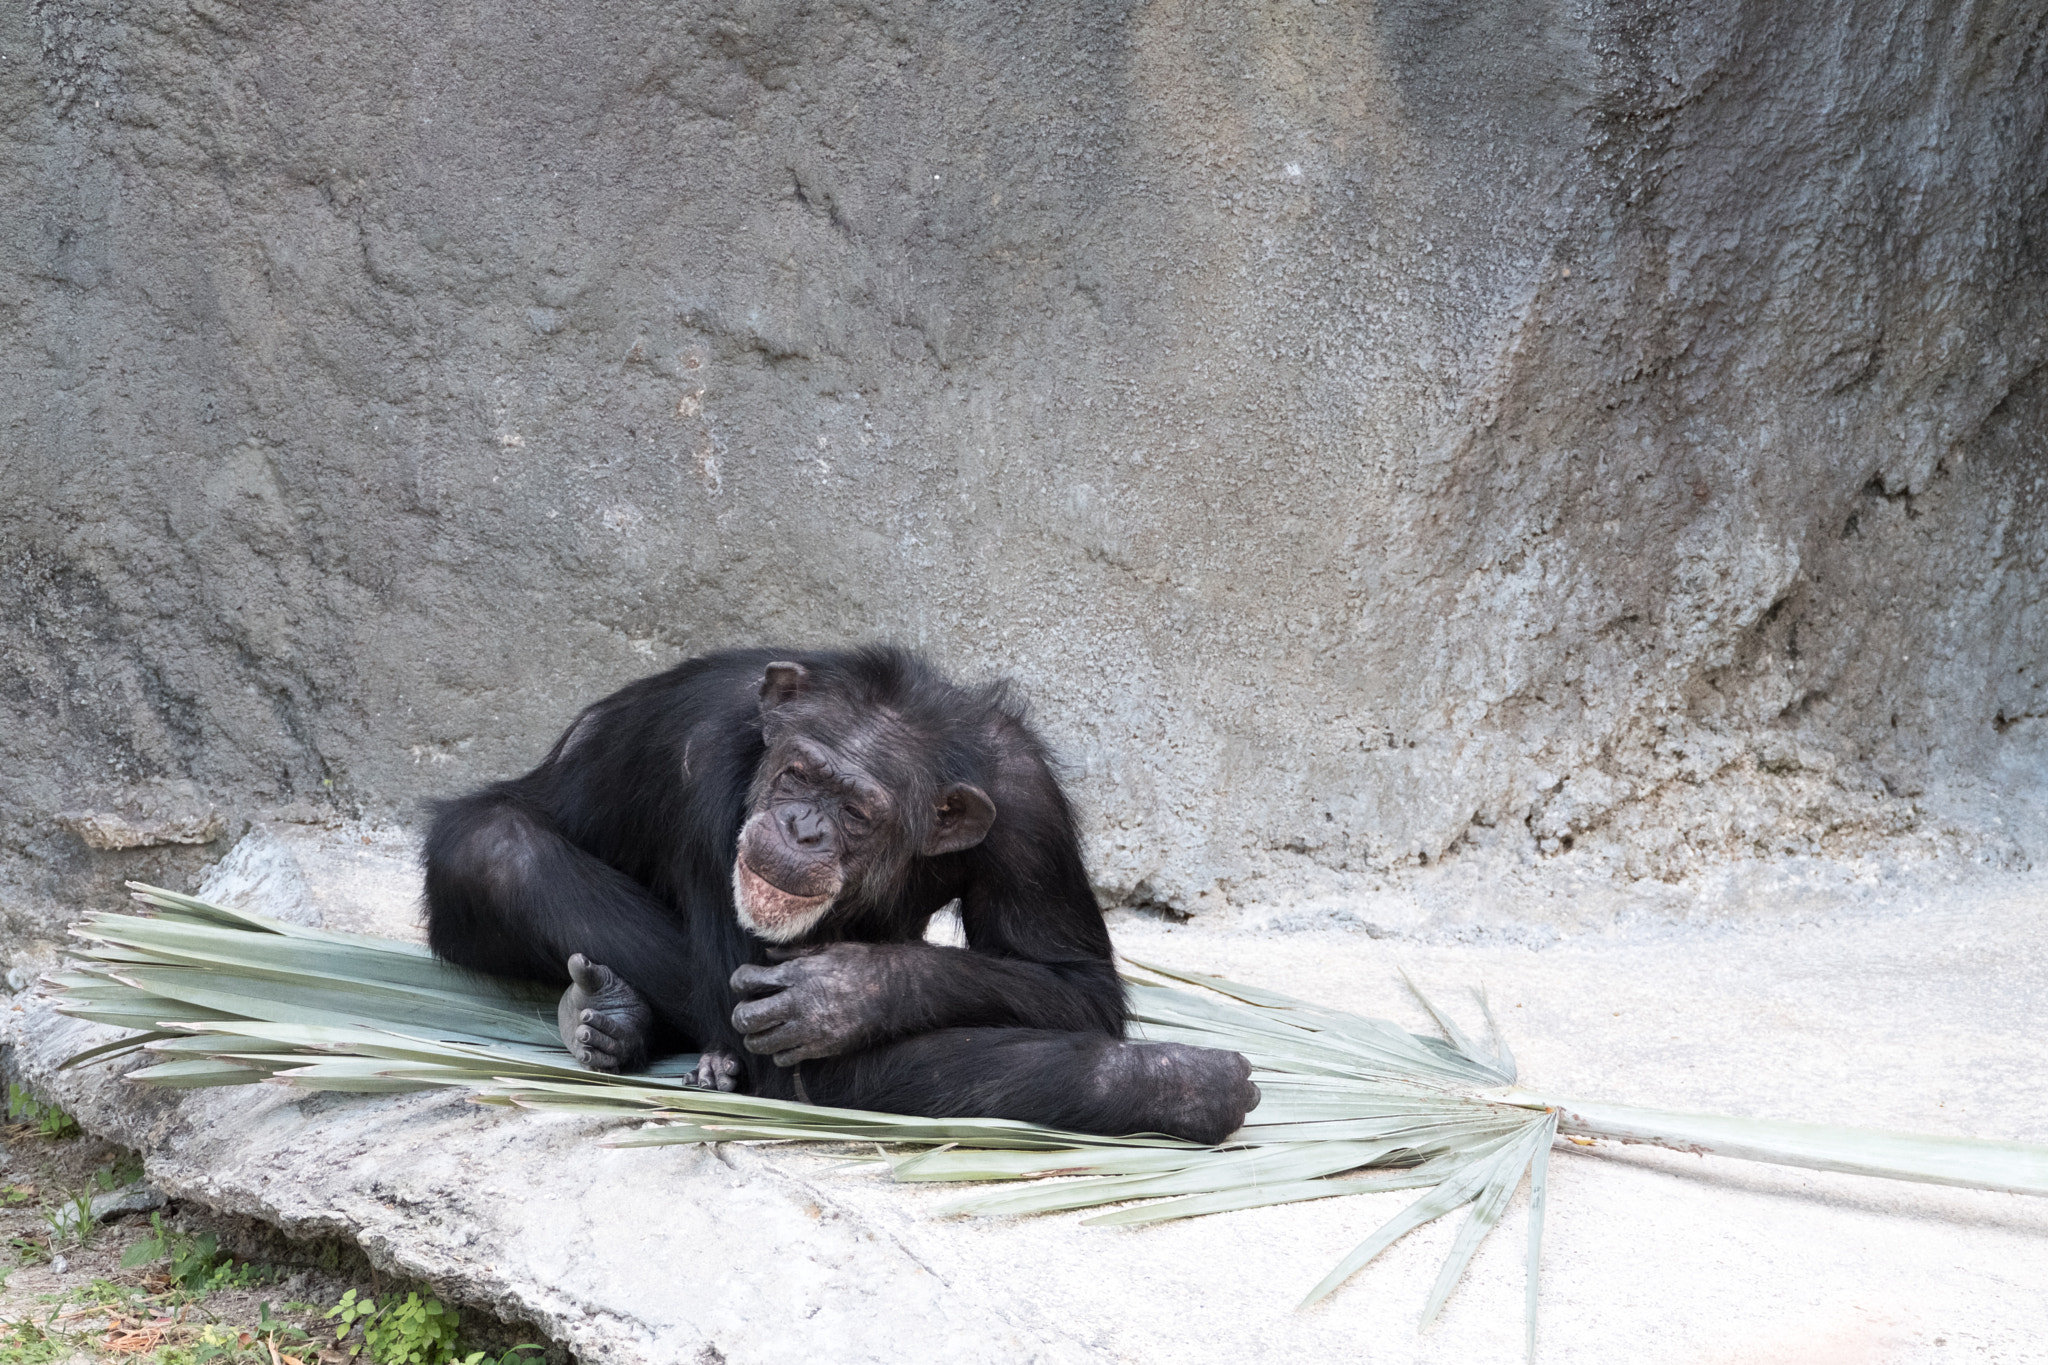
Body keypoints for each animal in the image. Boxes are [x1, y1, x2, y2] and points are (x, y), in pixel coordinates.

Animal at [421, 646, 1253, 1146]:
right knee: (501, 853)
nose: (800, 827)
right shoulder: (710, 761)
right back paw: (617, 1016)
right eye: (797, 774)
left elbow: (1079, 986)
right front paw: (1178, 1082)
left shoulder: (1027, 801)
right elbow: (794, 1070)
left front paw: (853, 990)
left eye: (856, 810)